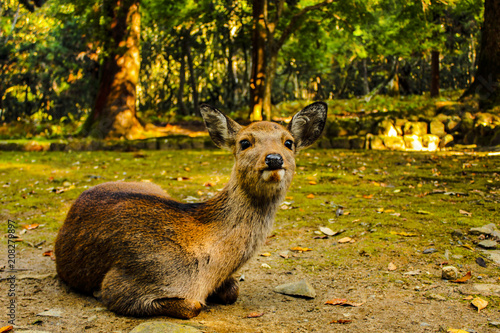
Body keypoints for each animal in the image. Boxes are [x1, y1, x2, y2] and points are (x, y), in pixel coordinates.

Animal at [54, 102, 328, 320]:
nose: (274, 159)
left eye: (289, 143)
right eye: (245, 142)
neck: (208, 268)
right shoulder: (126, 281)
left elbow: (233, 290)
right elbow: (193, 306)